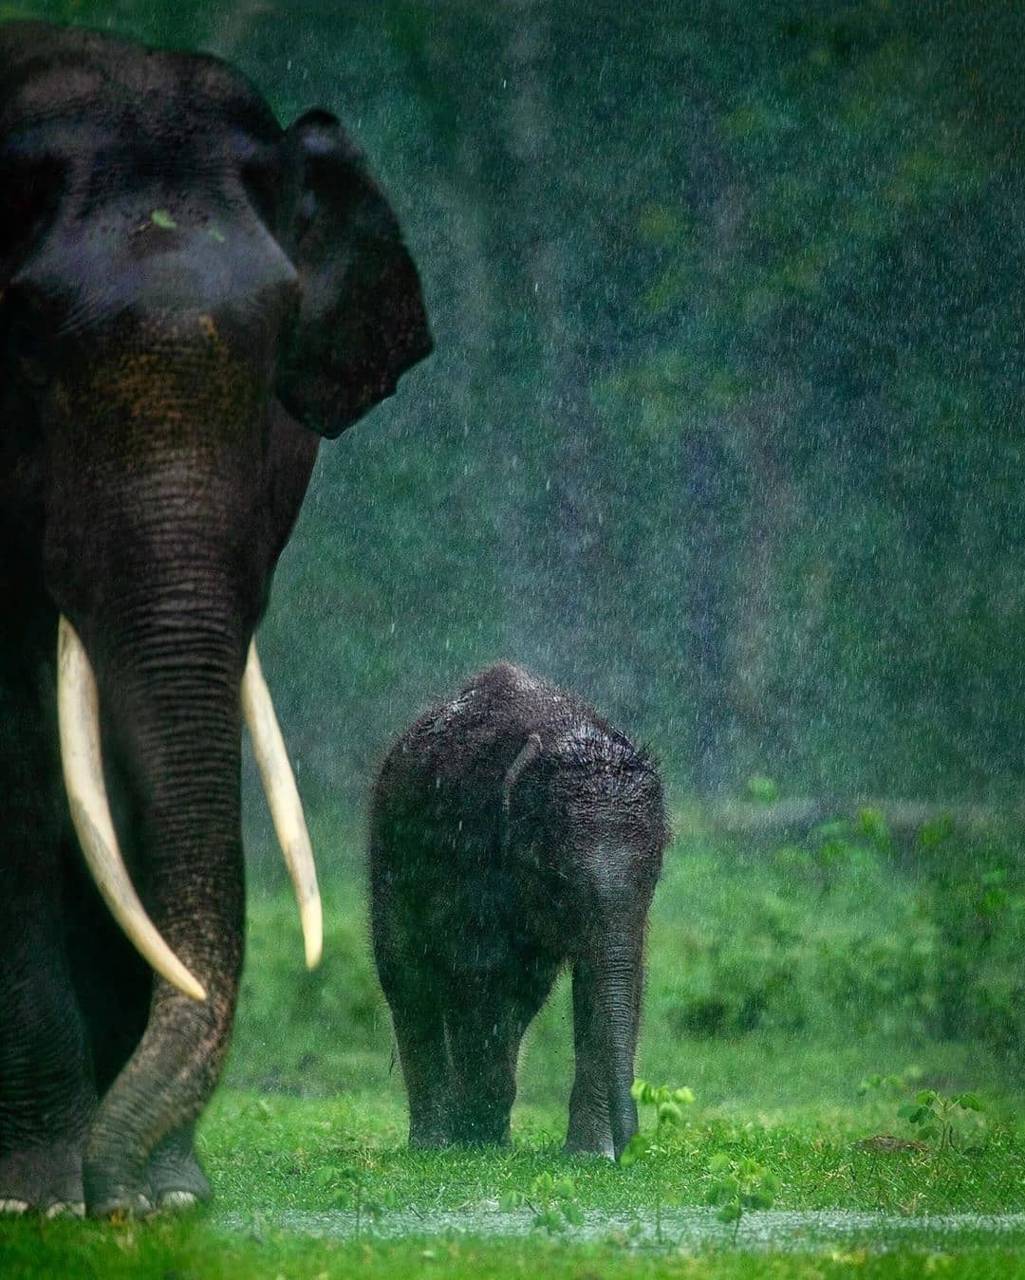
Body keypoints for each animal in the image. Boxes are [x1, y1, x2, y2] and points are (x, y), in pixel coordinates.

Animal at [369, 663, 668, 1159]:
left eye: (654, 874)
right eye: (559, 879)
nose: (633, 1147)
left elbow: (608, 980)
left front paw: (588, 1157)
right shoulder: (471, 850)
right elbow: (480, 974)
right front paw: (478, 1136)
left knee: (524, 992)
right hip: (387, 860)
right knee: (411, 979)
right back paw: (440, 1141)